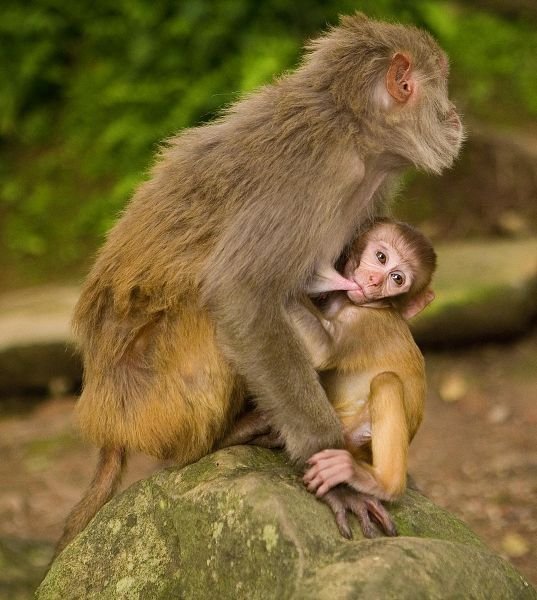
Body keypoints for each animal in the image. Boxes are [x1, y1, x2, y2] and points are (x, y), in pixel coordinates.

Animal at [222, 219, 436, 540]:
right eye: (381, 257)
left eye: (397, 279)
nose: (374, 280)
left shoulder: (364, 324)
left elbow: (323, 352)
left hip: (357, 437)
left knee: (386, 381)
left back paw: (380, 482)